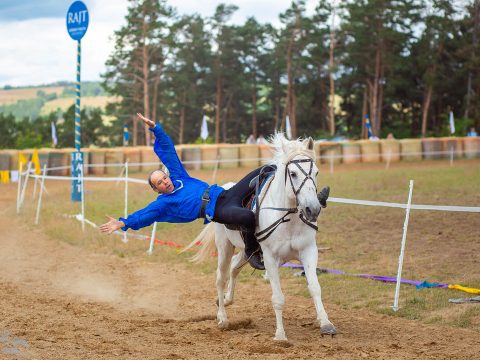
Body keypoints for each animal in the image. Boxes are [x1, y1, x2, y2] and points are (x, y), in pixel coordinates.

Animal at [182, 133, 336, 340]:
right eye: (293, 174)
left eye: (317, 172)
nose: (313, 209)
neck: (287, 217)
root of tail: (223, 191)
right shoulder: (270, 257)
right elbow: (278, 298)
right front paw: (280, 335)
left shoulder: (308, 251)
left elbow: (314, 287)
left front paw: (326, 323)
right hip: (225, 247)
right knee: (221, 277)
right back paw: (222, 317)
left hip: (249, 252)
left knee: (234, 268)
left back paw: (226, 300)